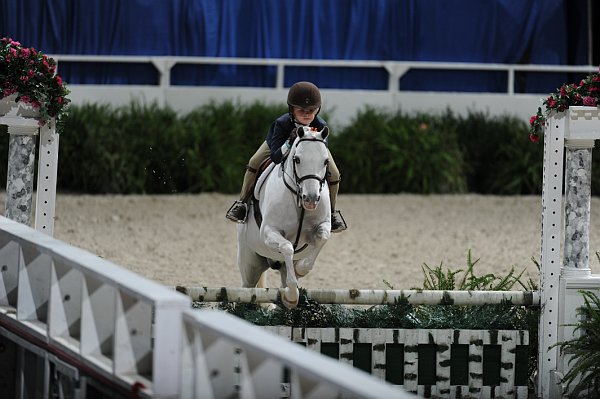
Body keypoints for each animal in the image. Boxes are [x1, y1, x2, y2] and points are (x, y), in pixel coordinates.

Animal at [237, 126, 332, 308]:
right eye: (297, 159)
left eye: (325, 161)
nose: (310, 199)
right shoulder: (269, 231)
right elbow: (287, 247)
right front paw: (292, 297)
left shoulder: (322, 225)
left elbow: (322, 239)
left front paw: (300, 270)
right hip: (249, 263)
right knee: (246, 289)